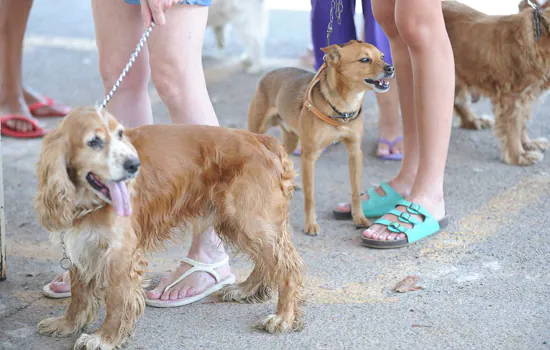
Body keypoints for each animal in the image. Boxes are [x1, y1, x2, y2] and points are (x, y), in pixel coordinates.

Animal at [34, 108, 306, 348]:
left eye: (120, 134)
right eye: (94, 141)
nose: (134, 165)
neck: (88, 200)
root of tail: (262, 140)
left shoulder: (120, 253)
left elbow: (117, 299)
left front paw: (105, 338)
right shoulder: (81, 244)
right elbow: (79, 294)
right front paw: (67, 324)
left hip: (248, 219)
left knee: (287, 266)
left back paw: (283, 317)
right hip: (237, 222)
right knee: (267, 261)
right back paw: (245, 289)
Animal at [248, 39, 394, 237]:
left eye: (382, 56)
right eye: (364, 59)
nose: (391, 68)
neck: (343, 107)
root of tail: (270, 73)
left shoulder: (355, 152)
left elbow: (356, 191)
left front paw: (359, 218)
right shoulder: (309, 156)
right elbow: (310, 196)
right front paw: (311, 224)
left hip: (292, 139)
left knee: (283, 154)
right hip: (258, 131)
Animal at [446, 0, 550, 166]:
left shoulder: (526, 96)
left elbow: (522, 123)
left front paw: (528, 144)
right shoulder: (512, 96)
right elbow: (513, 126)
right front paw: (518, 155)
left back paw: (473, 120)